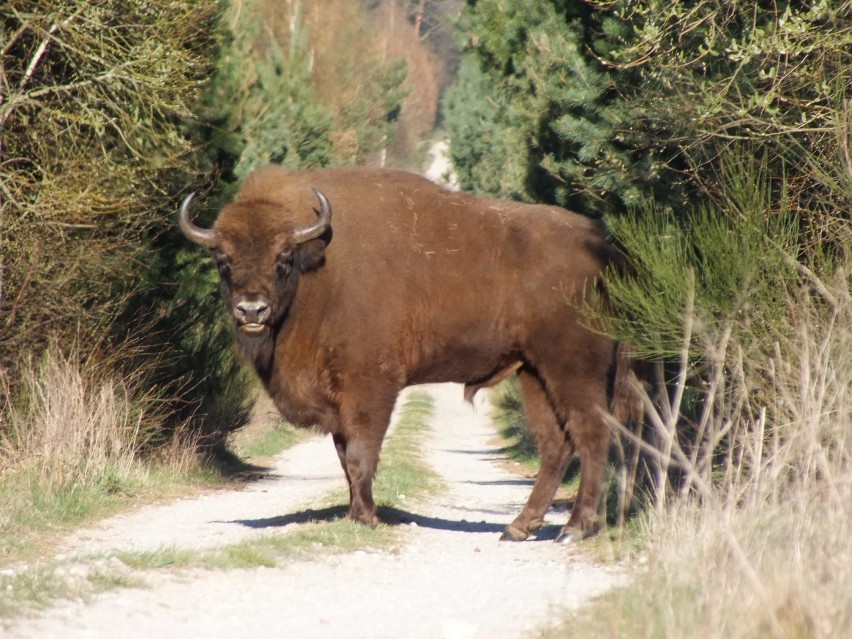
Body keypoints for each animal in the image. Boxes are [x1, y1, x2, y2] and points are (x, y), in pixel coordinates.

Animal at [180, 166, 640, 544]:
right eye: (223, 259)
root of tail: (607, 248)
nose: (251, 310)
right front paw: (358, 512)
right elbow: (345, 457)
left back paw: (574, 528)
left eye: (283, 258)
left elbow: (361, 454)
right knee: (556, 445)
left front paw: (364, 517)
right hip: (533, 372)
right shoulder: (339, 400)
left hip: (573, 369)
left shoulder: (370, 387)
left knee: (592, 434)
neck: (319, 272)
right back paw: (518, 528)